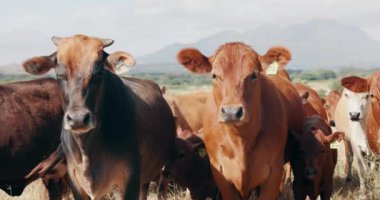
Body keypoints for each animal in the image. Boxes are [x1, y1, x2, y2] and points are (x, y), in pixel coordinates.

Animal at [20, 35, 175, 199]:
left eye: (99, 73)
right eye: (60, 74)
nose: (78, 119)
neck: (87, 150)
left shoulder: (129, 180)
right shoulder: (75, 183)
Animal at [175, 41, 302, 199]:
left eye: (254, 75)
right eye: (214, 75)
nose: (232, 112)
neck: (241, 141)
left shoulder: (274, 173)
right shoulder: (220, 174)